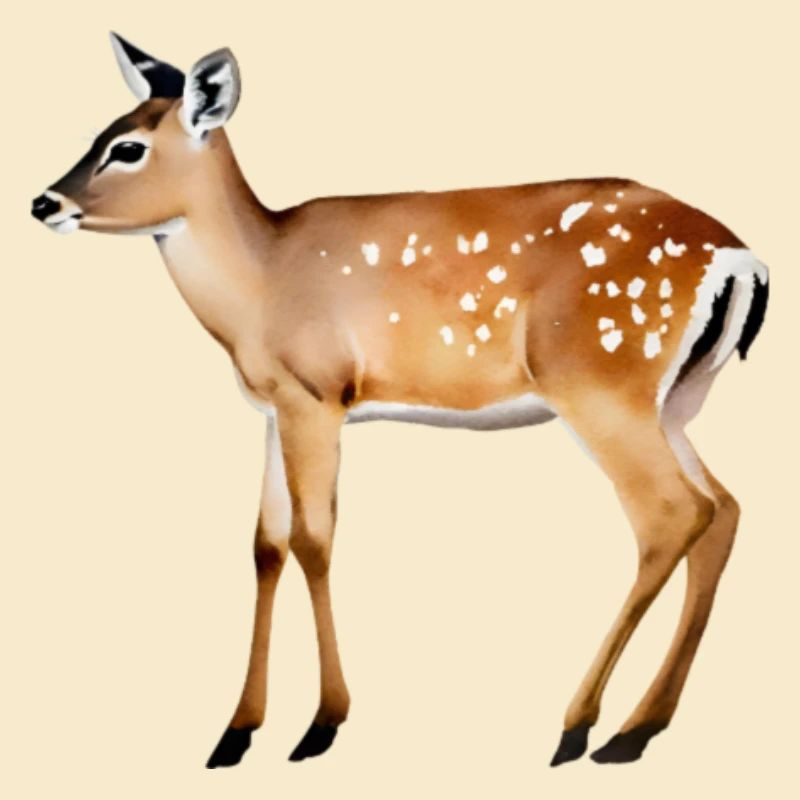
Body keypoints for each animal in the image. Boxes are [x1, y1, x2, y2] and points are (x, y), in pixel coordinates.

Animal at [31, 33, 769, 769]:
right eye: (100, 132)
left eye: (128, 147)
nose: (43, 203)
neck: (258, 284)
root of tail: (744, 260)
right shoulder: (273, 407)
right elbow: (265, 544)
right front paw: (235, 734)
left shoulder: (316, 393)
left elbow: (314, 539)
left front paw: (321, 724)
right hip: (674, 399)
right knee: (723, 509)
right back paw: (639, 727)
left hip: (600, 383)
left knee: (672, 514)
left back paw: (580, 727)